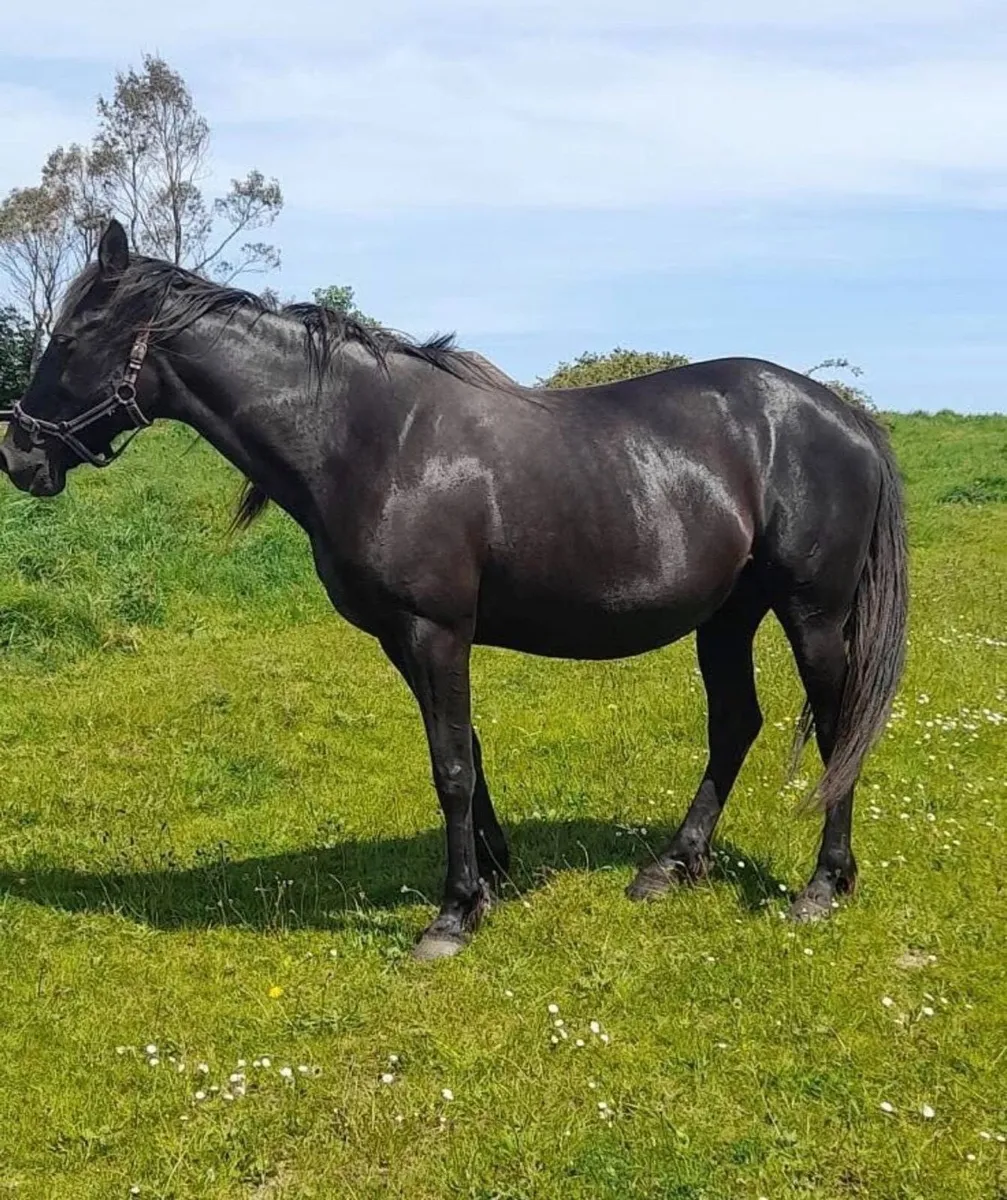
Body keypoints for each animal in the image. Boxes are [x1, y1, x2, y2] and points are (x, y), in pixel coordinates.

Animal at [0, 220, 908, 960]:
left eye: (71, 337)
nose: (19, 455)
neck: (367, 438)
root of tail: (843, 416)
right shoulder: (407, 638)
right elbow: (465, 752)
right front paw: (492, 880)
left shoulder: (434, 629)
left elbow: (450, 768)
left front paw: (451, 915)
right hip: (726, 616)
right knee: (734, 724)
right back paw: (672, 866)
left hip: (810, 613)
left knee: (836, 730)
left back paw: (822, 885)